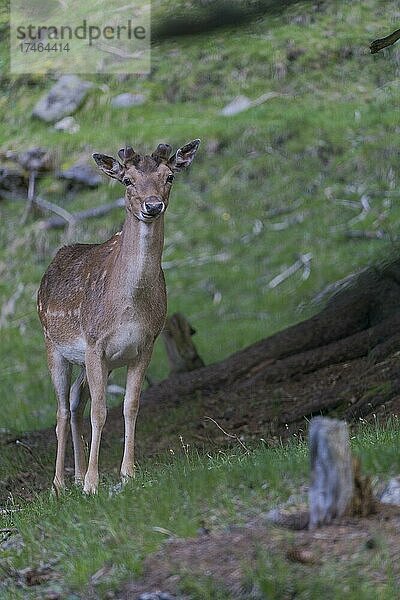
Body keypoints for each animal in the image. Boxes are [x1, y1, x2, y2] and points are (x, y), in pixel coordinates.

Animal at [37, 139, 200, 492]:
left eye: (169, 176)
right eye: (127, 180)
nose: (152, 206)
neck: (128, 308)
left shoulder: (144, 345)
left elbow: (130, 405)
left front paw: (127, 473)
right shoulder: (95, 342)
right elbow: (100, 411)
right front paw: (92, 484)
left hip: (97, 362)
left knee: (75, 400)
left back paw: (75, 474)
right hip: (53, 344)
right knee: (61, 409)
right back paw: (59, 483)